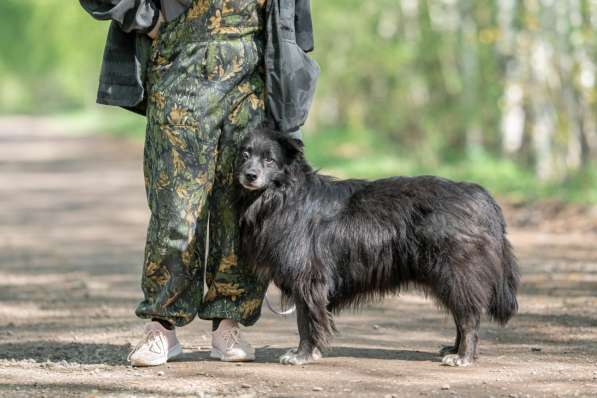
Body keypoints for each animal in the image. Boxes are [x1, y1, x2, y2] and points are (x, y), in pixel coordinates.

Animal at [236, 127, 516, 366]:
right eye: (245, 154)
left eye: (270, 160)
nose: (250, 175)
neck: (284, 196)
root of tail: (483, 199)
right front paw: (310, 352)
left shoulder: (308, 278)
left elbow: (306, 321)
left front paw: (302, 354)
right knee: (460, 314)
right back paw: (454, 349)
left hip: (456, 272)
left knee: (468, 317)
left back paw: (463, 356)